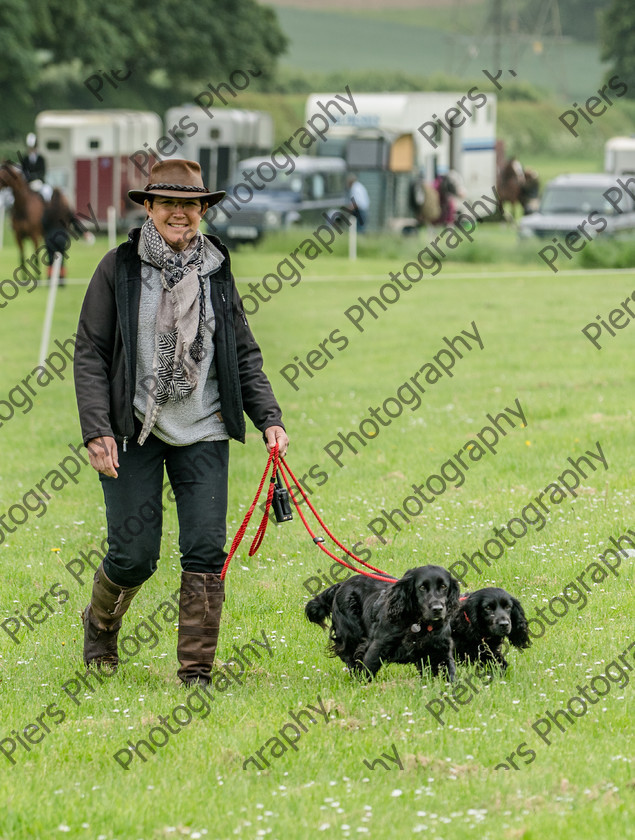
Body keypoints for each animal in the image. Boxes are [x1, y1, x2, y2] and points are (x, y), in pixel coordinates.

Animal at [306, 564, 460, 684]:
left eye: (444, 586)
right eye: (422, 587)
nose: (437, 609)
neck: (419, 624)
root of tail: (342, 584)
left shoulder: (442, 650)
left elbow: (450, 673)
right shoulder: (377, 646)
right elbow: (367, 670)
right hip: (350, 635)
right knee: (351, 659)